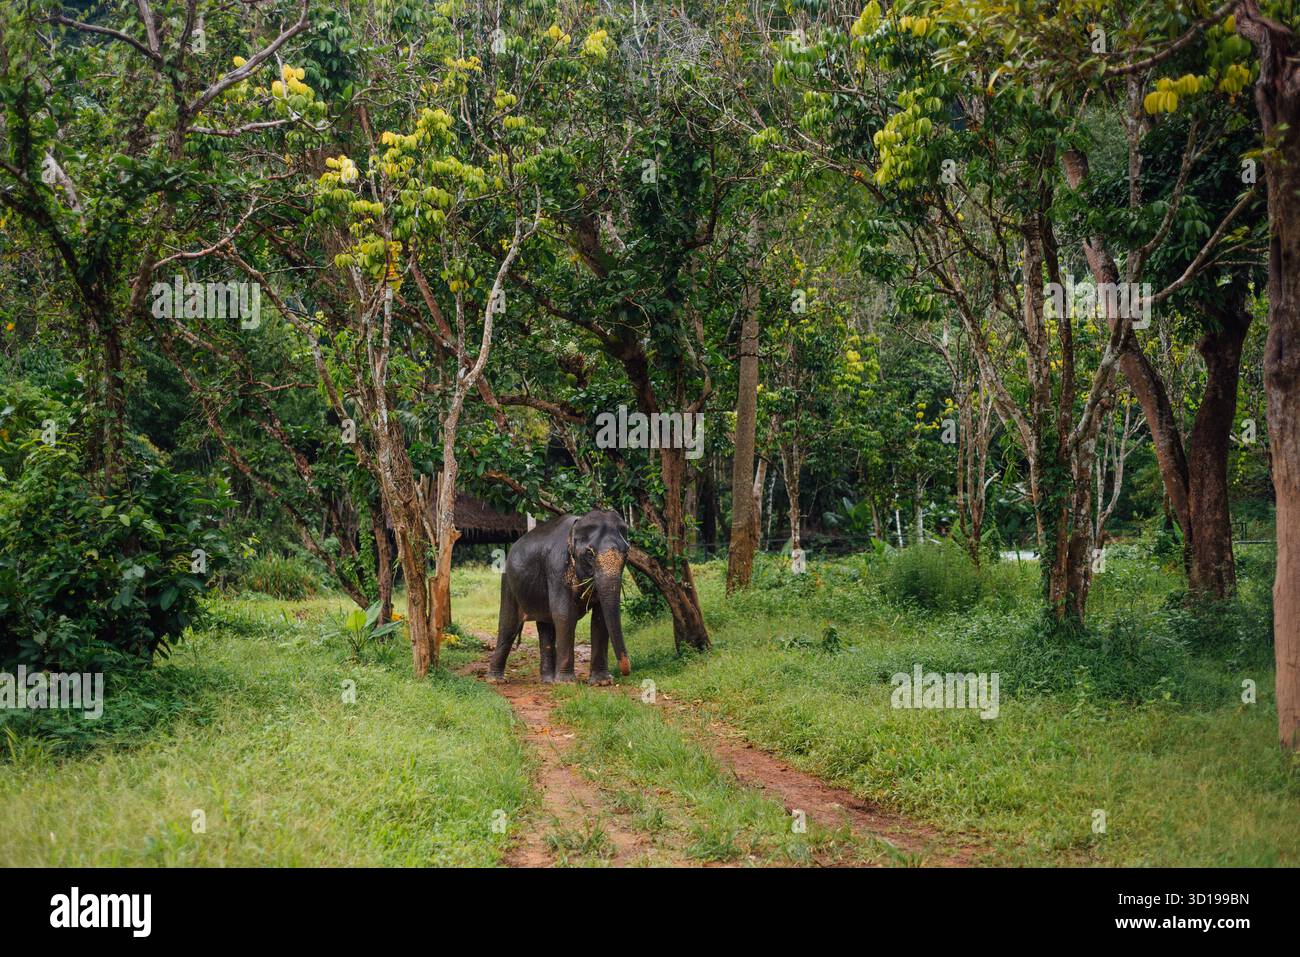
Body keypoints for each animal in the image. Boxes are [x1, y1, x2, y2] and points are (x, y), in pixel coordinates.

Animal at [488, 508, 631, 685]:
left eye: (626, 553)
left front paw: (601, 682)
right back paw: (496, 679)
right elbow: (564, 615)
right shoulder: (556, 568)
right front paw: (567, 682)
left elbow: (600, 618)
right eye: (589, 553)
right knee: (508, 626)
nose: (626, 671)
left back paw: (548, 680)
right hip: (508, 583)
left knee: (545, 626)